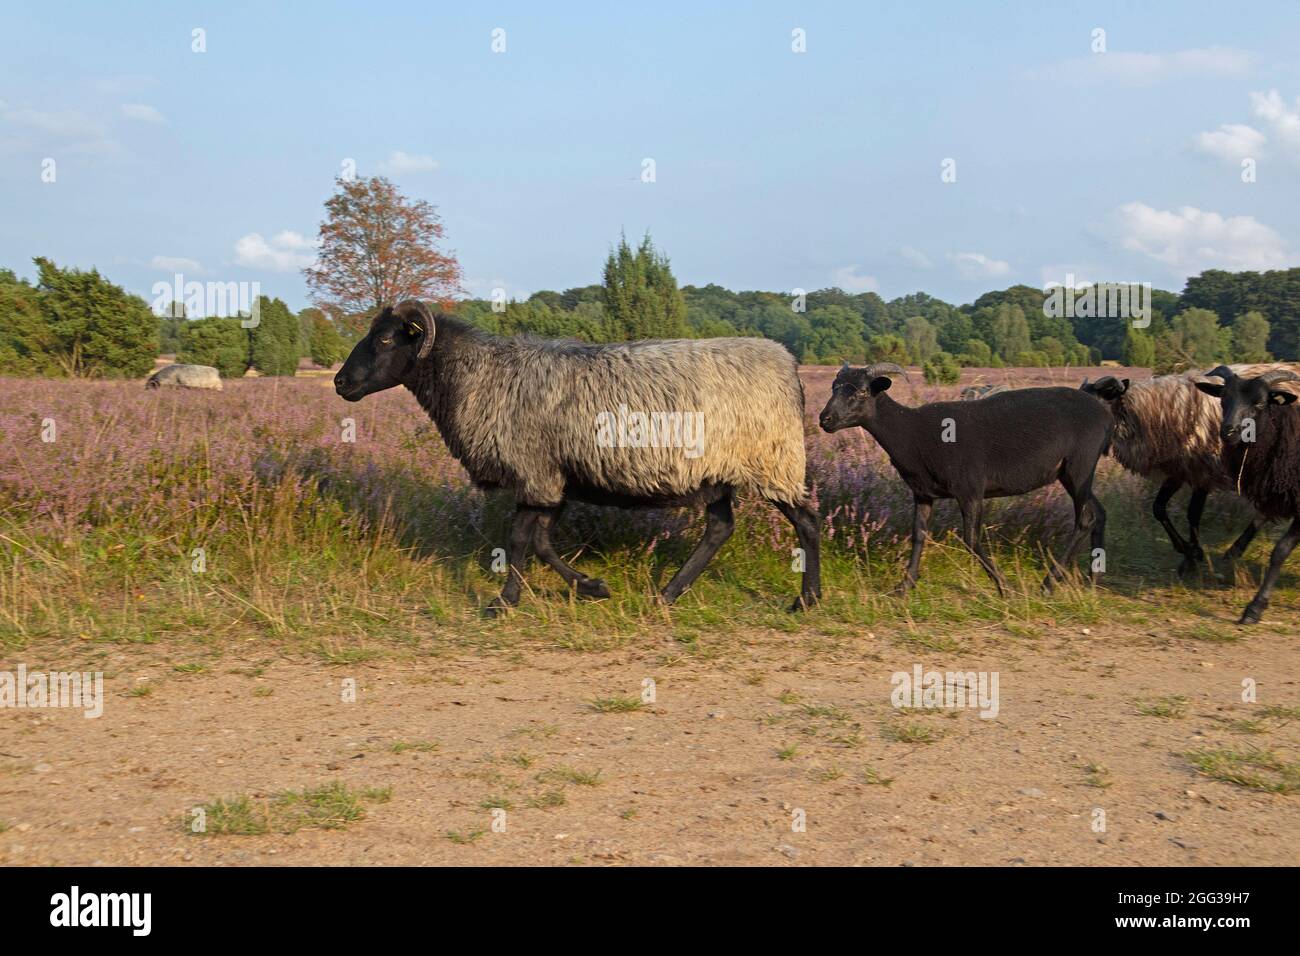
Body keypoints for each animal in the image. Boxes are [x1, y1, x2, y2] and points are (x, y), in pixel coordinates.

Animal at [821, 361, 1107, 595]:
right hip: (1071, 473)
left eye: (862, 392)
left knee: (1086, 517)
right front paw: (903, 587)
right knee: (1099, 512)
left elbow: (971, 539)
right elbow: (918, 535)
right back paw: (1093, 581)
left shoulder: (969, 489)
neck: (911, 433)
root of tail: (1105, 414)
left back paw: (1048, 584)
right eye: (833, 388)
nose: (825, 419)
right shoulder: (922, 493)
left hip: (1080, 465)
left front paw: (1004, 588)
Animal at [1081, 364, 1300, 574]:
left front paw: (1193, 555)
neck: (1159, 413)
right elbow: (1158, 508)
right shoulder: (1178, 471)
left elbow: (1193, 514)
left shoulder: (1202, 472)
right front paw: (1187, 551)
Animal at [1190, 369, 1300, 629]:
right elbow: (1259, 518)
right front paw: (1233, 552)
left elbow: (1280, 551)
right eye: (1223, 399)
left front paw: (1254, 608)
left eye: (1260, 403)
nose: (1228, 431)